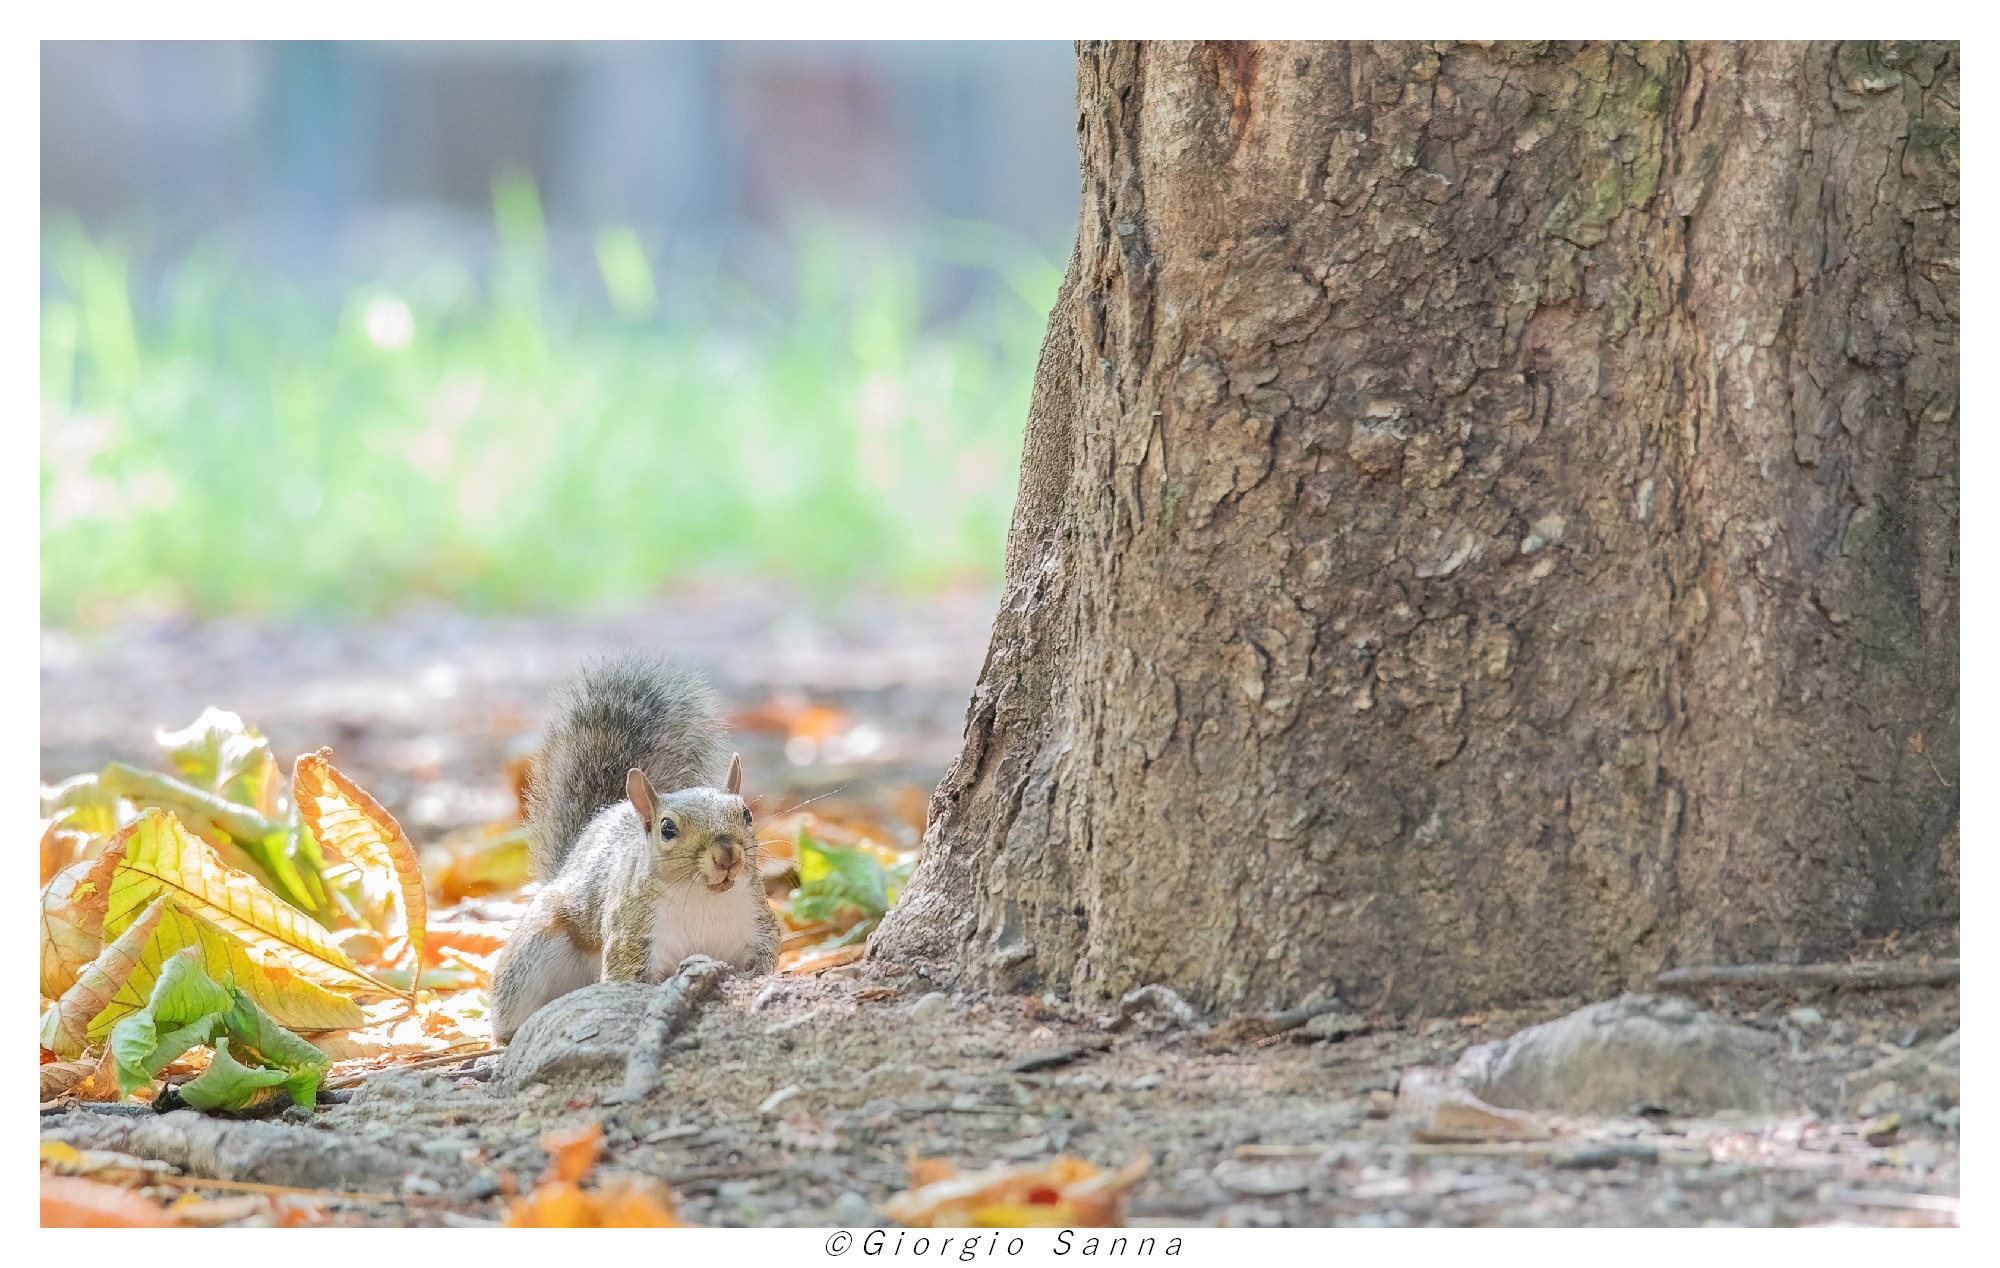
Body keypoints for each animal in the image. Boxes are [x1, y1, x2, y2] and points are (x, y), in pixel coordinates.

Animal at [489, 653, 781, 1043]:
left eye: (746, 813)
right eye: (667, 829)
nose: (728, 855)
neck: (703, 898)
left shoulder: (759, 924)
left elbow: (766, 958)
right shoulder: (633, 937)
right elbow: (630, 979)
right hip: (534, 953)